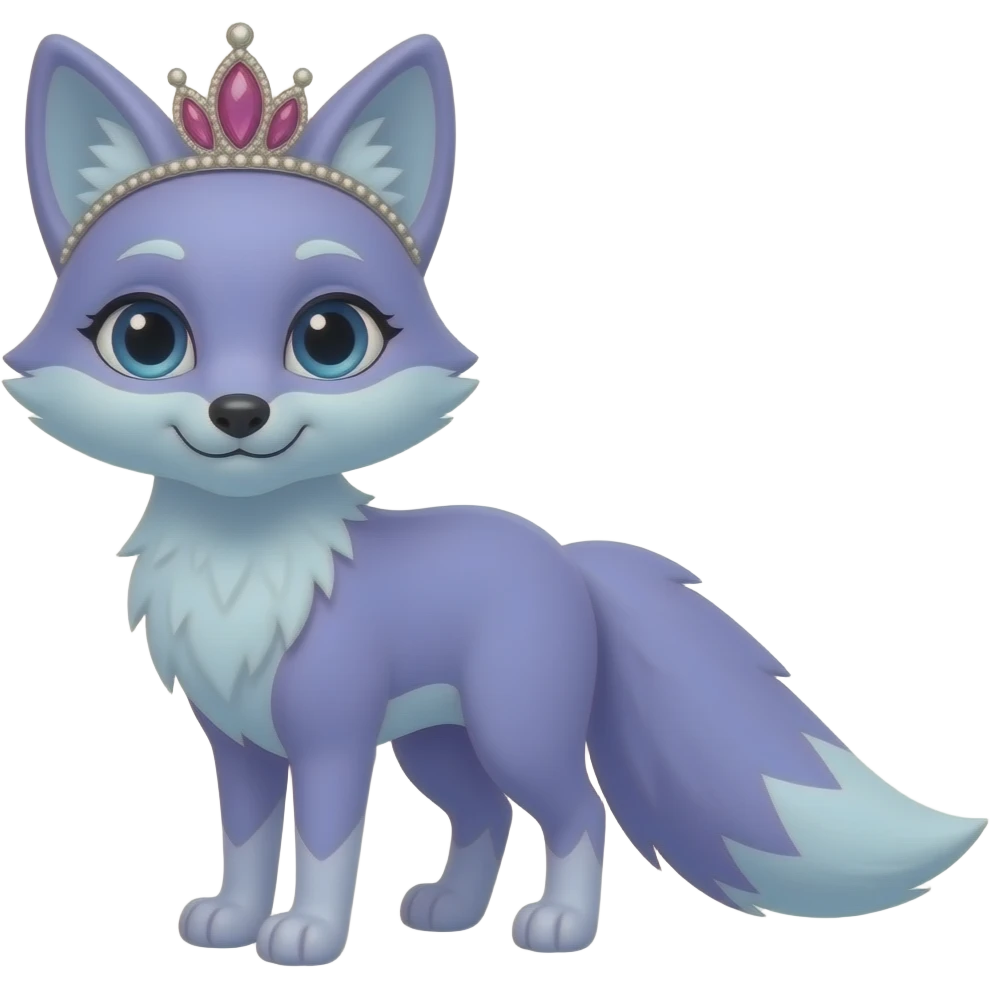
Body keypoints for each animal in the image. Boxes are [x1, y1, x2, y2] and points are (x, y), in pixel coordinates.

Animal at [6, 22, 987, 967]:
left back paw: (559, 927)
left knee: (575, 811)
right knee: (486, 815)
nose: (239, 412)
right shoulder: (241, 745)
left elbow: (322, 845)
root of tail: (562, 554)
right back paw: (448, 914)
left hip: (513, 725)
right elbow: (245, 843)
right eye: (146, 337)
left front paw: (309, 937)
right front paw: (231, 921)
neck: (246, 562)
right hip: (439, 740)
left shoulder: (333, 738)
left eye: (330, 338)